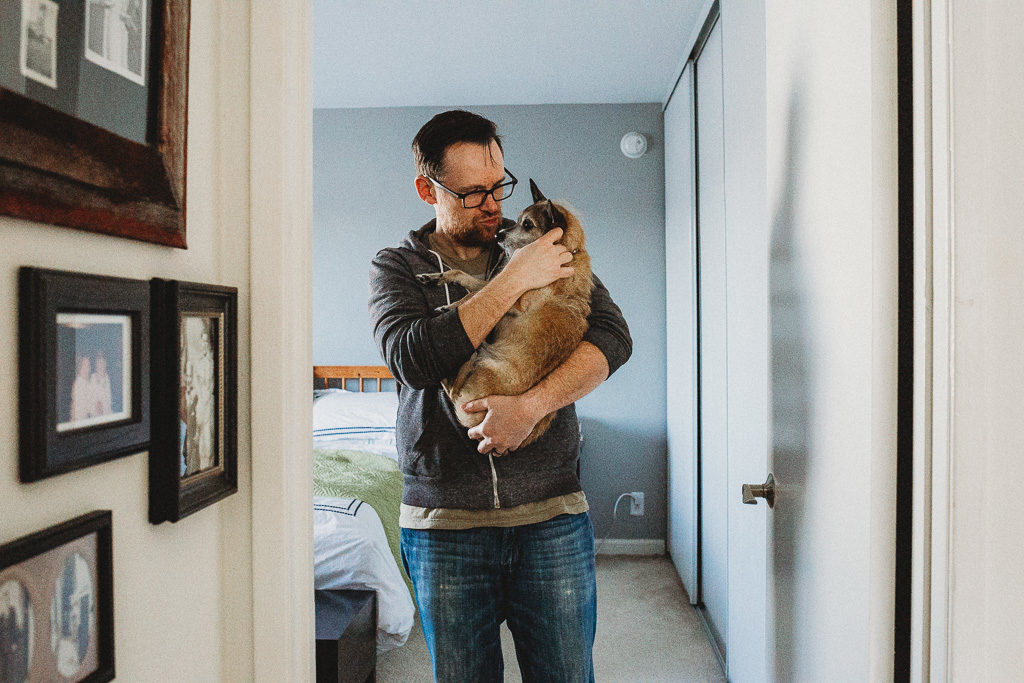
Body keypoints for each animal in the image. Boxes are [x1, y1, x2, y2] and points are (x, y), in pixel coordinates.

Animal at [415, 180, 593, 448]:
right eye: (518, 220)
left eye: (527, 224)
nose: (498, 234)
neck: (566, 253)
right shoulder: (501, 284)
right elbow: (464, 277)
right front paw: (436, 277)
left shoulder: (514, 301)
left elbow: (471, 295)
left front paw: (450, 306)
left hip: (487, 369)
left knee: (453, 389)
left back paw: (468, 360)